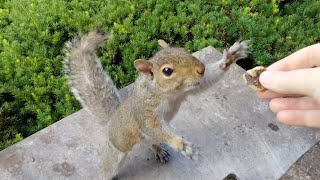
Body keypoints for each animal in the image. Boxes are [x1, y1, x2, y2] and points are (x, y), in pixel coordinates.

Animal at [63, 28, 250, 179]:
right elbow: (153, 127)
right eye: (167, 71)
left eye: (184, 50)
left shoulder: (188, 89)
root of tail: (110, 121)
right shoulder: (145, 111)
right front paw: (182, 145)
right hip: (114, 153)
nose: (201, 69)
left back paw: (159, 151)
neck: (168, 94)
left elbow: (207, 80)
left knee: (152, 143)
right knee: (108, 169)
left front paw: (230, 57)